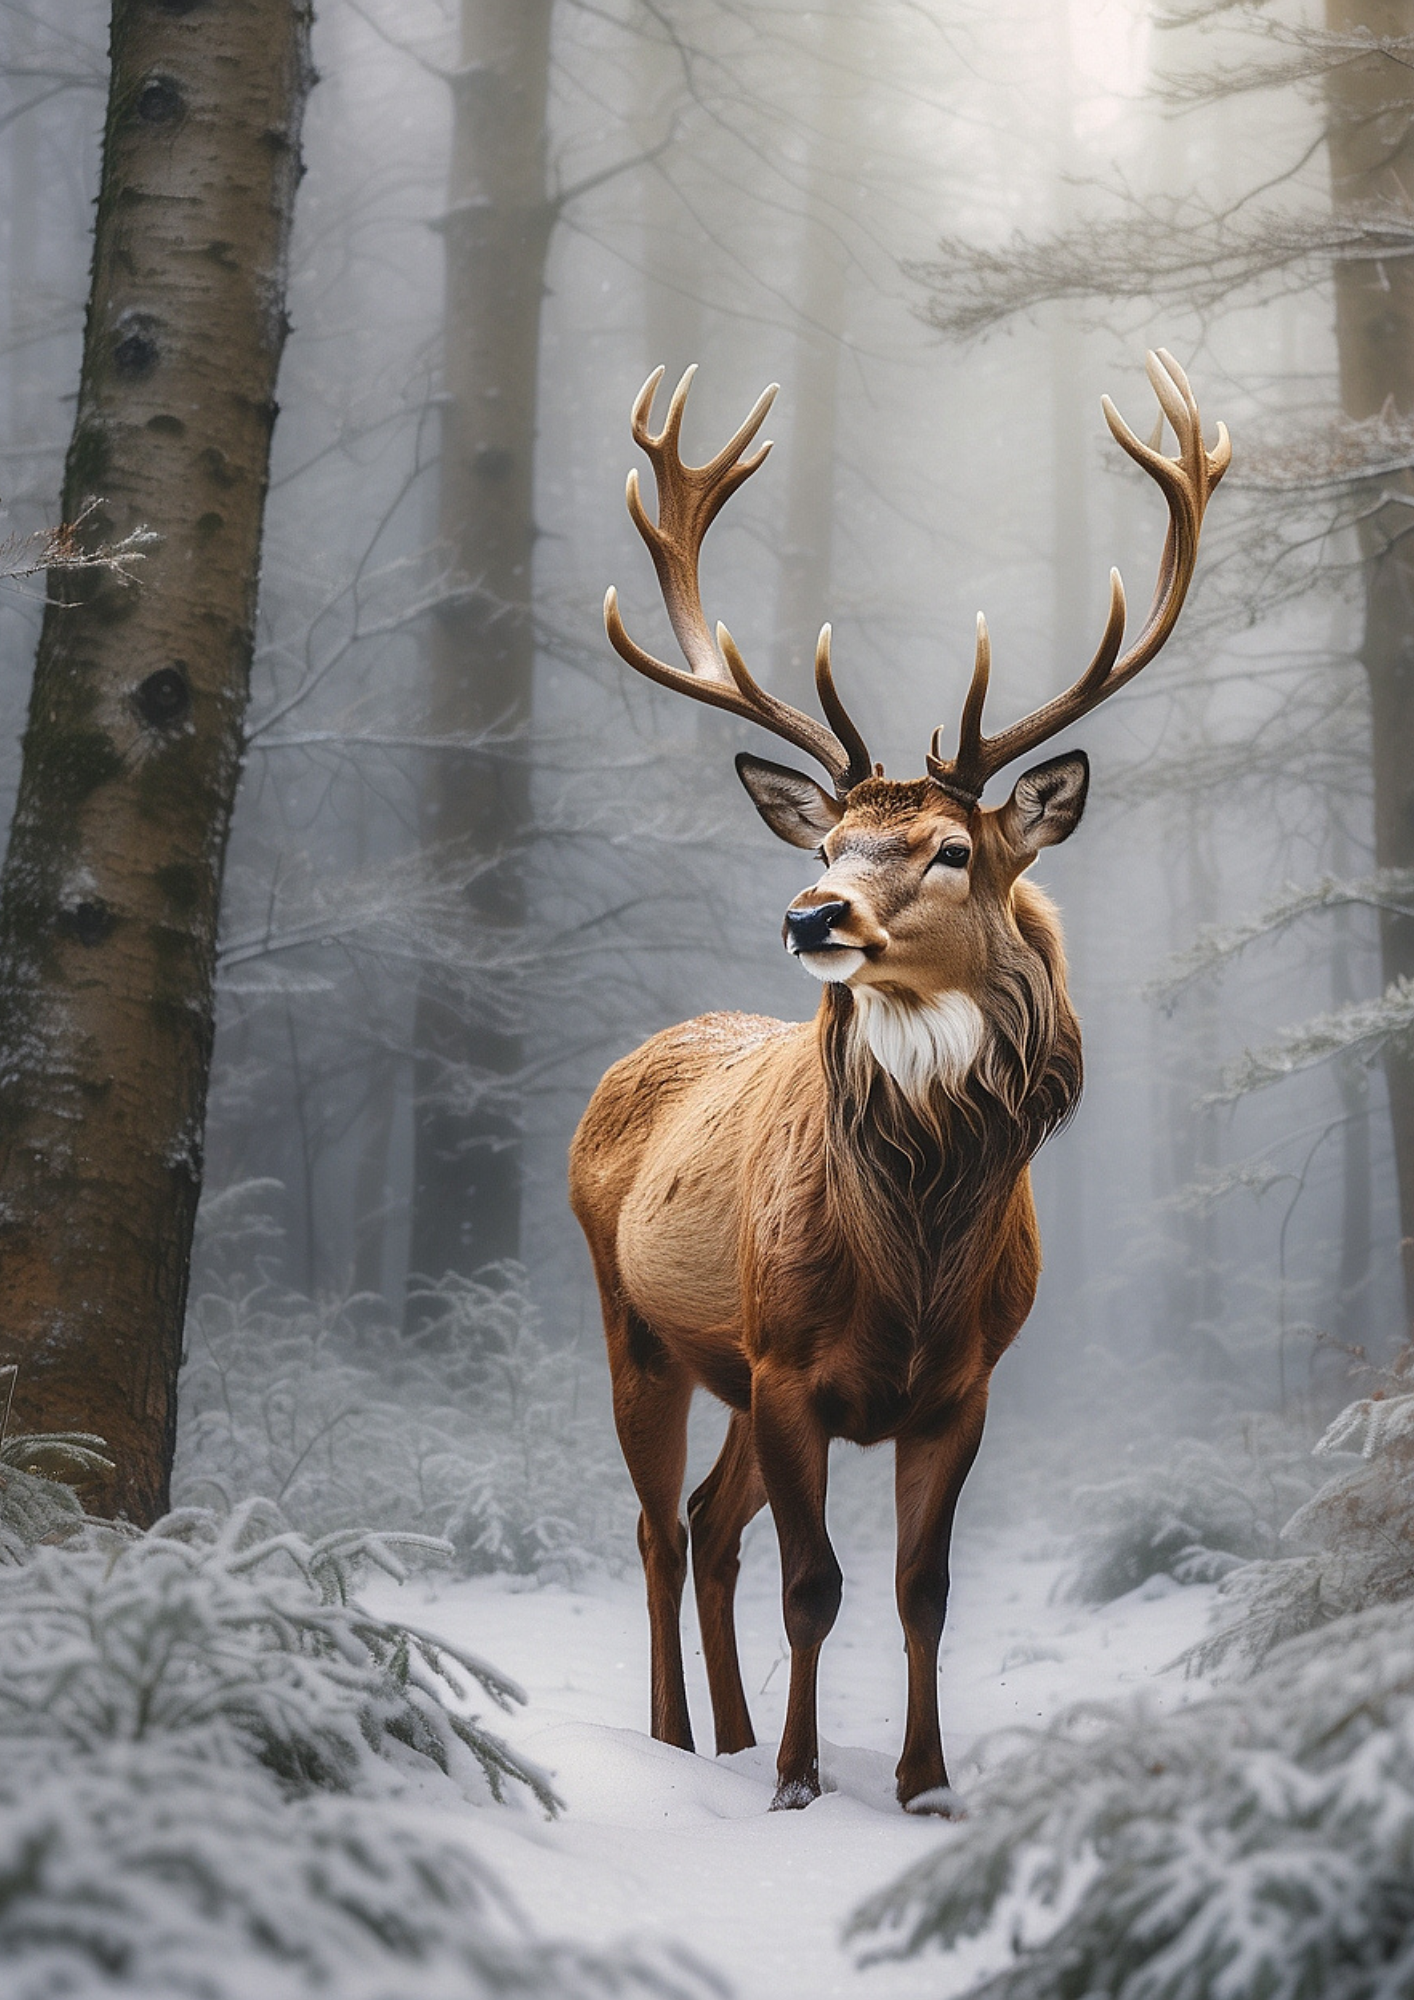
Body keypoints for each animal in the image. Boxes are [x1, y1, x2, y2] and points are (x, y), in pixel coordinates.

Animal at [569, 351, 1228, 1814]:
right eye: (826, 840)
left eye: (947, 849)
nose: (810, 915)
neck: (915, 1256)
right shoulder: (789, 1364)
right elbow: (817, 1585)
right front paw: (800, 1782)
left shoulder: (962, 1384)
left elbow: (923, 1588)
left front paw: (924, 1782)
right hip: (641, 1324)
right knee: (654, 1526)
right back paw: (677, 1741)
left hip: (728, 1367)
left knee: (705, 1522)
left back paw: (727, 1733)